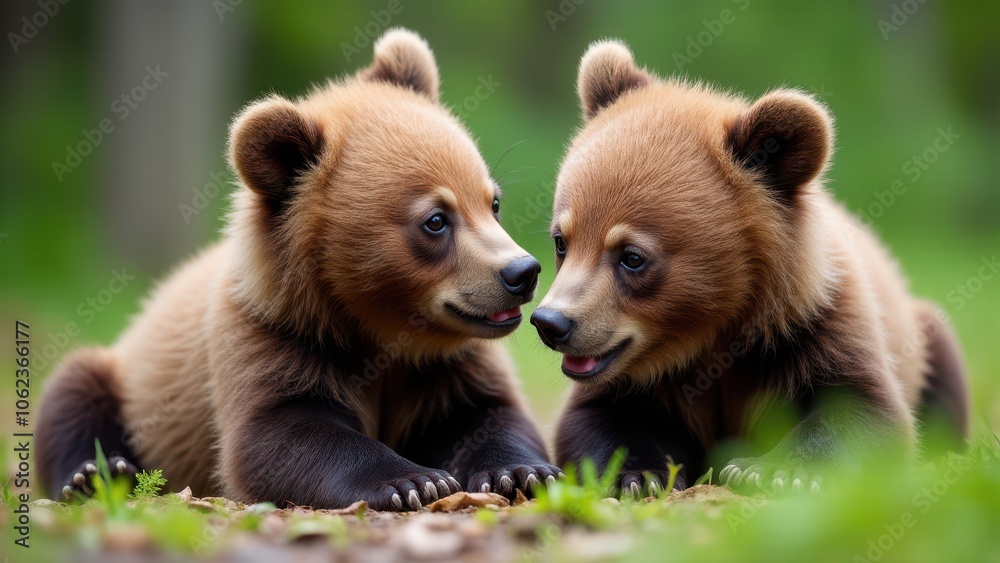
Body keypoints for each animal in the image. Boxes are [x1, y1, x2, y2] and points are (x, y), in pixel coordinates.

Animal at [36, 28, 560, 511]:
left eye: (493, 202)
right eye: (435, 220)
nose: (521, 272)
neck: (377, 326)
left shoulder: (443, 365)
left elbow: (488, 412)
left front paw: (523, 471)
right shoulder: (272, 334)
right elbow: (276, 433)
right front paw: (413, 480)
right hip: (126, 374)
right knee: (73, 390)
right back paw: (95, 474)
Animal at [529, 39, 969, 495]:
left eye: (632, 256)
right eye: (561, 240)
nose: (552, 322)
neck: (712, 333)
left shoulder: (815, 325)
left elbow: (864, 409)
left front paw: (769, 468)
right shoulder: (634, 379)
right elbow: (592, 419)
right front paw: (638, 475)